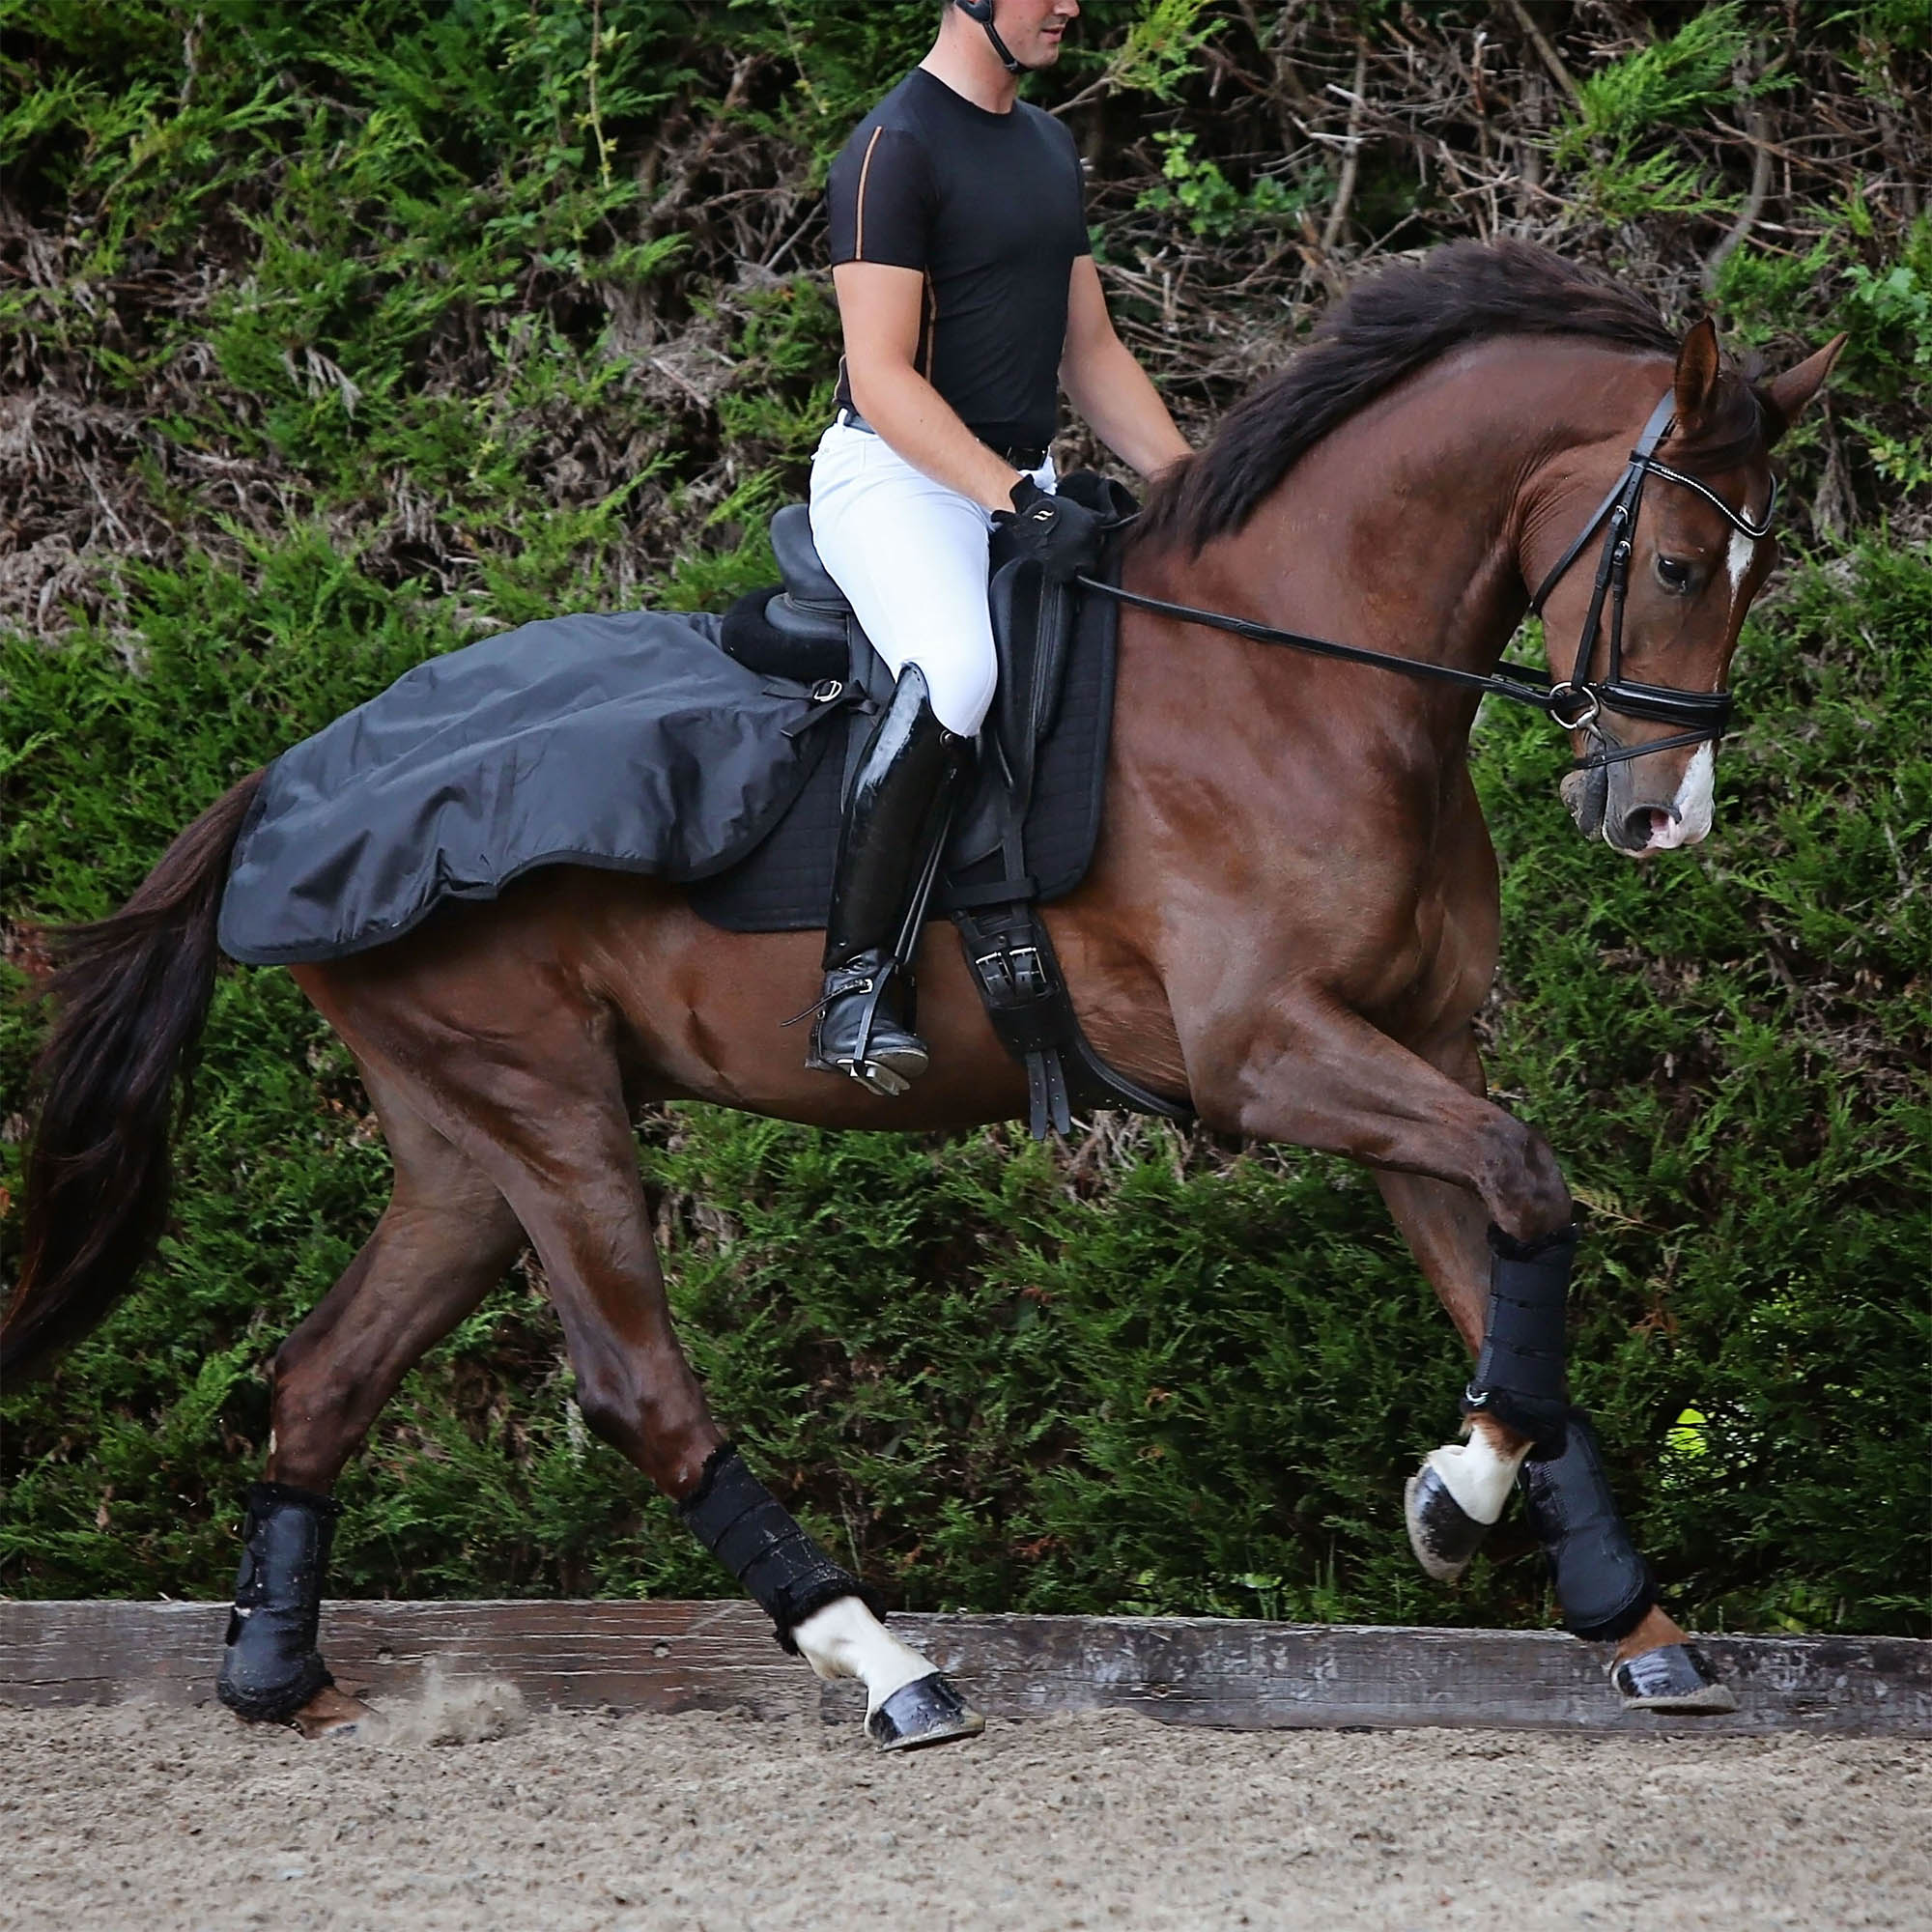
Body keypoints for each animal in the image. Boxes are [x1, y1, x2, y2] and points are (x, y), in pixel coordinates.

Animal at [4, 240, 1842, 1745]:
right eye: (1683, 566)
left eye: (1757, 577)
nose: (1661, 817)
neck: (1297, 680)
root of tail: (293, 776)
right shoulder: (1269, 1058)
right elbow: (1529, 1183)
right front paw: (1468, 1504)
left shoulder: (1411, 1048)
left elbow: (1508, 1273)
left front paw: (1601, 1599)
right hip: (546, 1110)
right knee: (635, 1387)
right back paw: (886, 1667)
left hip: (465, 1141)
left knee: (327, 1372)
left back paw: (278, 1680)